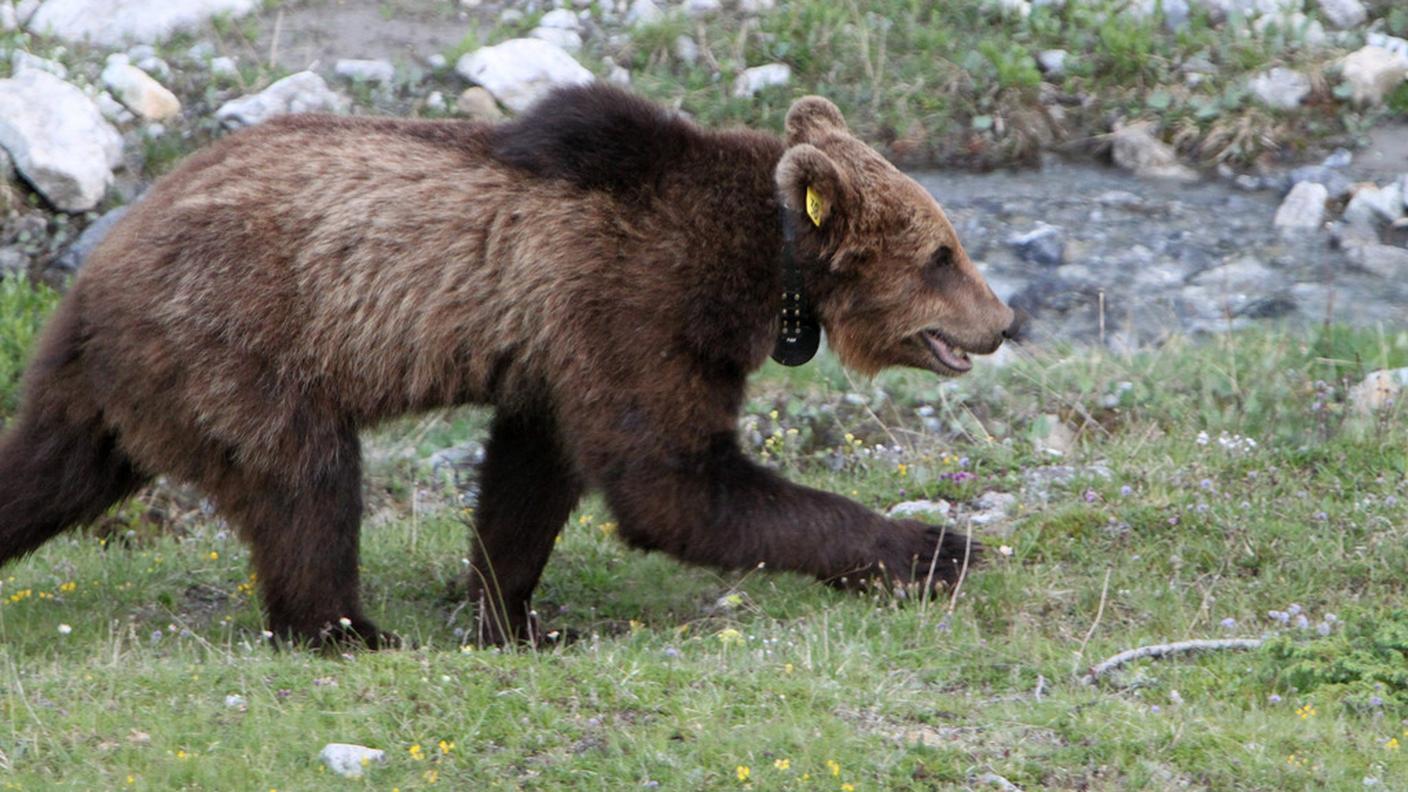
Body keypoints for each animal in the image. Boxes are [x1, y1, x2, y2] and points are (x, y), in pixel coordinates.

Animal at [0, 84, 1019, 648]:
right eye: (943, 253)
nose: (1003, 321)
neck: (760, 270)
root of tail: (97, 270)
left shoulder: (555, 347)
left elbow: (533, 477)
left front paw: (517, 614)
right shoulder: (636, 299)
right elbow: (675, 484)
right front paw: (935, 549)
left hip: (110, 387)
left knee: (46, 471)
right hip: (238, 343)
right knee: (306, 484)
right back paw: (349, 630)